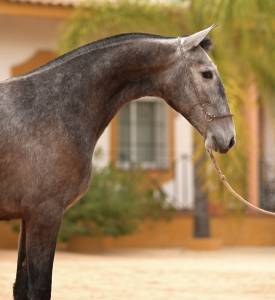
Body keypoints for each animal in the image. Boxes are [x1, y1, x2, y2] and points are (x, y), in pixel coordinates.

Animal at [0, 25, 235, 298]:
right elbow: (38, 288)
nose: (228, 137)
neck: (51, 107)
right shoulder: (44, 215)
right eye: (207, 74)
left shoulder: (28, 217)